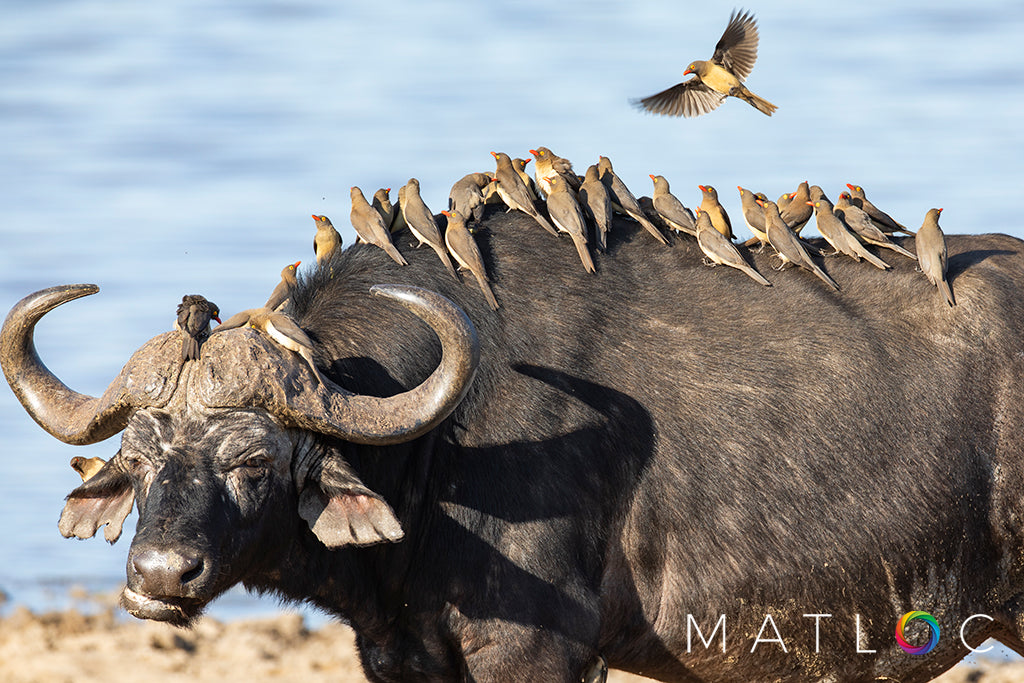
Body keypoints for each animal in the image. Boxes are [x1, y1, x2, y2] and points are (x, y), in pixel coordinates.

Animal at [2, 209, 1024, 683]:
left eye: (255, 460)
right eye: (141, 456)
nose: (158, 575)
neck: (439, 450)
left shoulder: (534, 653)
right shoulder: (403, 656)